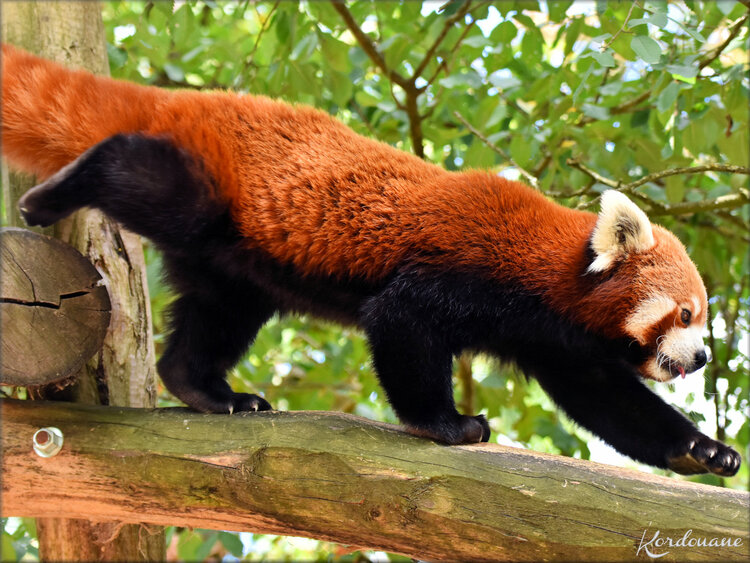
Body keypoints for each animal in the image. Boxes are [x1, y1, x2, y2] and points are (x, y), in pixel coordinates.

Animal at [0, 45, 740, 476]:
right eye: (685, 313)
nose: (703, 356)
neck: (550, 277)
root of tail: (194, 99)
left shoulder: (555, 340)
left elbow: (609, 402)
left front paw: (702, 449)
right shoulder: (467, 274)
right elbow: (401, 322)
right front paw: (449, 425)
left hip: (235, 263)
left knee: (214, 318)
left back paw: (212, 391)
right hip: (205, 191)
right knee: (135, 170)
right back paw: (52, 191)